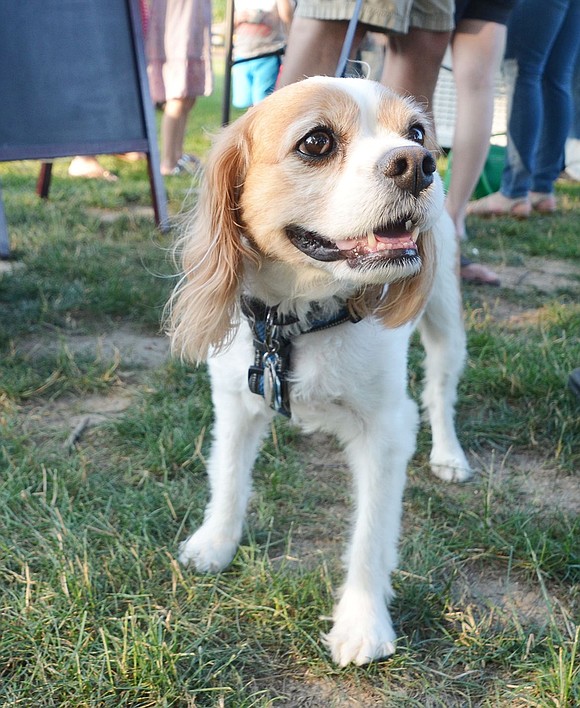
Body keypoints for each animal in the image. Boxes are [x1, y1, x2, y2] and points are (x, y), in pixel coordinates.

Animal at [168, 79, 472, 668]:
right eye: (317, 142)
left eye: (416, 133)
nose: (418, 163)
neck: (300, 321)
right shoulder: (234, 404)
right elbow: (229, 479)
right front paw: (216, 543)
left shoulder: (387, 429)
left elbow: (371, 534)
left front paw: (362, 622)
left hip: (446, 324)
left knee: (440, 393)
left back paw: (449, 456)